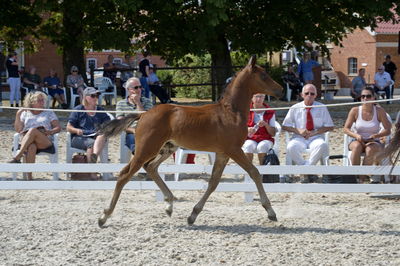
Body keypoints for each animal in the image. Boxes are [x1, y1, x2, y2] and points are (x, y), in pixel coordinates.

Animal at [98, 56, 282, 227]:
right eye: (263, 75)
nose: (279, 89)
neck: (231, 112)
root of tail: (143, 114)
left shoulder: (222, 153)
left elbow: (214, 182)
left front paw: (193, 214)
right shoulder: (234, 149)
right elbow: (254, 172)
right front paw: (271, 212)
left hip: (168, 148)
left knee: (151, 168)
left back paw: (169, 204)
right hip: (146, 149)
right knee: (125, 174)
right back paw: (104, 216)